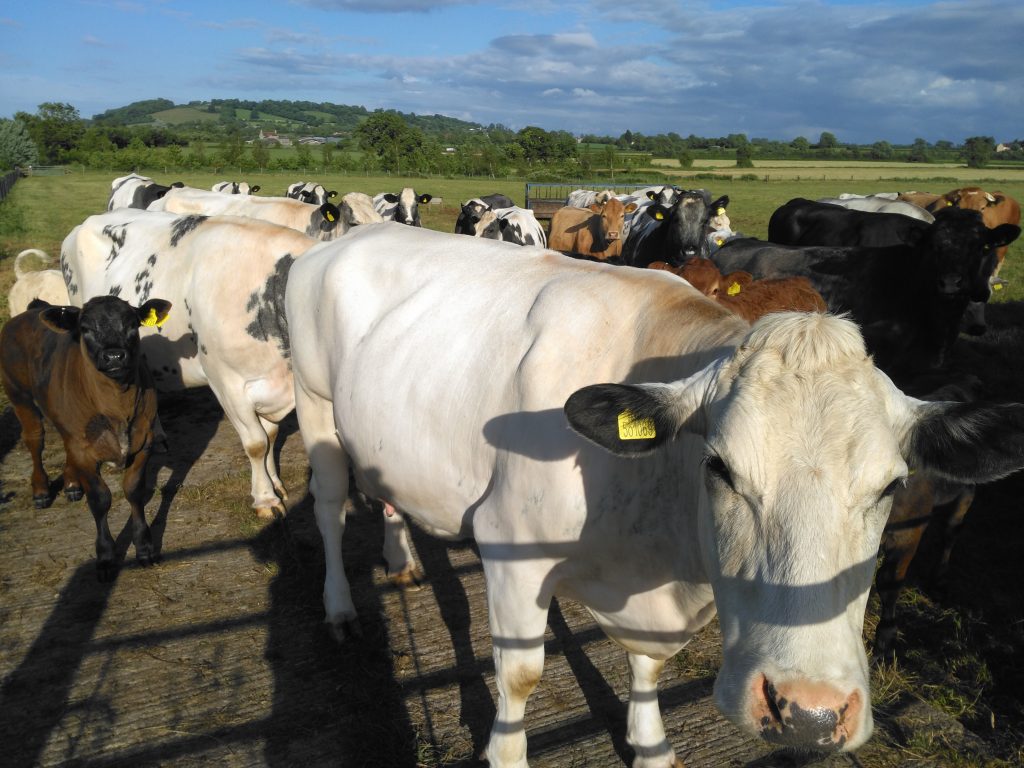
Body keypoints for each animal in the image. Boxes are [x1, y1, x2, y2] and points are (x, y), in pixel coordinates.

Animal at [0, 296, 172, 581]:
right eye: (86, 329)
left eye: (131, 325)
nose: (114, 355)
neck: (117, 406)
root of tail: (32, 310)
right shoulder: (84, 451)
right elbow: (100, 500)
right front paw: (106, 557)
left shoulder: (144, 441)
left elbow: (134, 491)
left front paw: (145, 548)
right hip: (18, 393)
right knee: (35, 438)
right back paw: (41, 490)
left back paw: (71, 484)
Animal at [61, 208, 317, 518]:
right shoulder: (227, 384)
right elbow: (256, 443)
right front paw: (265, 500)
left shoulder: (272, 381)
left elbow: (270, 435)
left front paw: (276, 485)